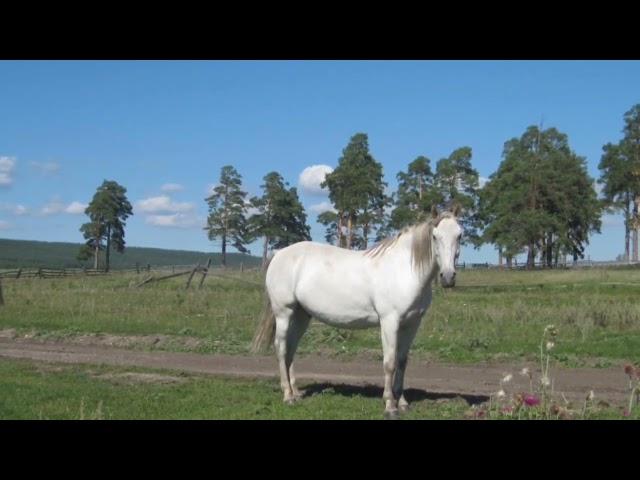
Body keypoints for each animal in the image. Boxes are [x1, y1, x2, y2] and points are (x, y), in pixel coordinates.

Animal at [250, 204, 460, 418]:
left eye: (459, 235)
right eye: (435, 236)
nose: (448, 277)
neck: (403, 271)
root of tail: (278, 254)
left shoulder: (411, 324)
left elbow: (402, 361)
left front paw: (402, 402)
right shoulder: (389, 322)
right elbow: (390, 363)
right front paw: (389, 405)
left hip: (302, 316)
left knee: (291, 349)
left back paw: (296, 392)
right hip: (284, 313)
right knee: (281, 348)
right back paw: (288, 396)